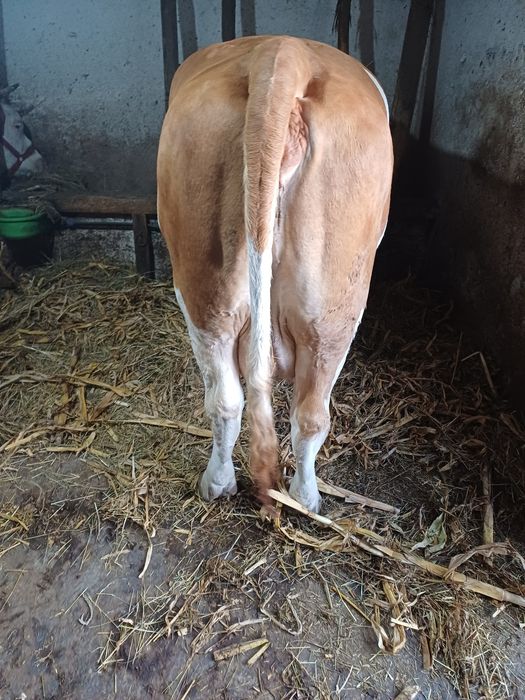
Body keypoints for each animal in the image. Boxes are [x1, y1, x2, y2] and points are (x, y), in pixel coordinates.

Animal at [157, 36, 393, 513]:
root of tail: (281, 53)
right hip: (335, 309)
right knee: (304, 411)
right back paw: (301, 497)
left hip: (209, 292)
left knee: (233, 402)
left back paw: (228, 486)